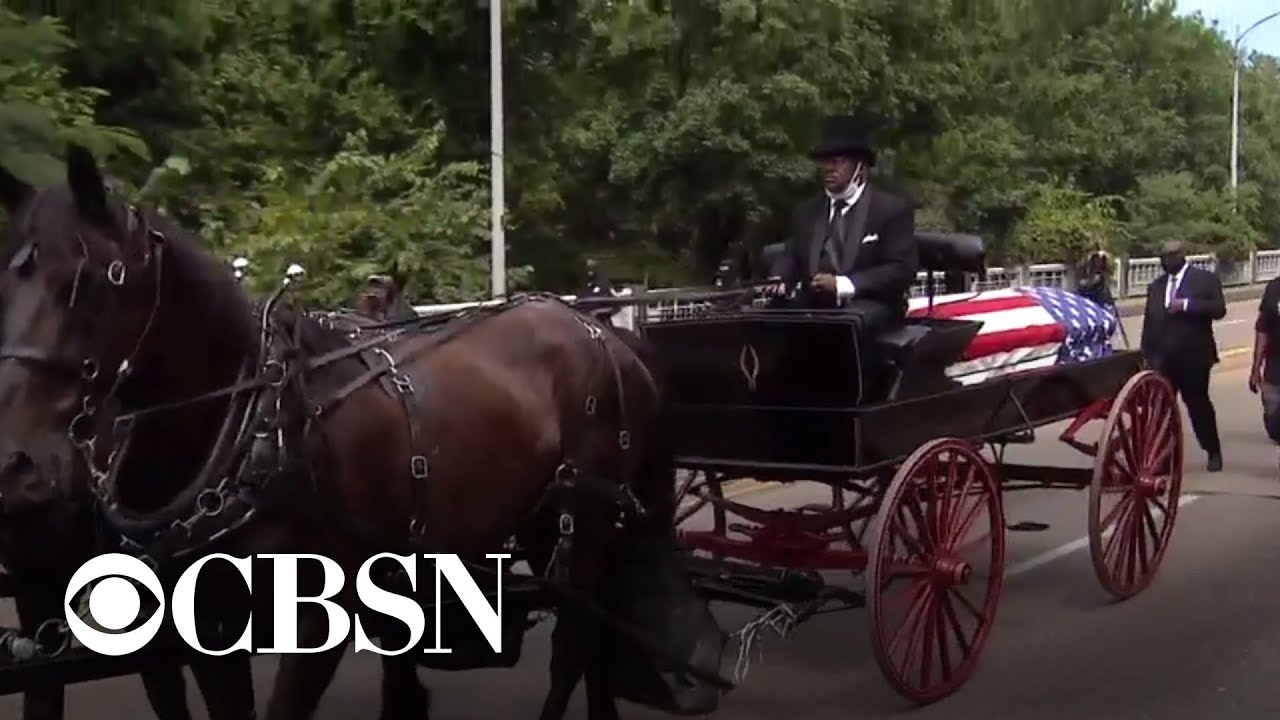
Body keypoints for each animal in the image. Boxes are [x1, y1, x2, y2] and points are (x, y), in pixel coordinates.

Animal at [0, 147, 721, 717]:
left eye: (91, 281)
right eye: (10, 281)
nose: (16, 464)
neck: (257, 429)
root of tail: (606, 333)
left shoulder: (314, 626)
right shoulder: (207, 629)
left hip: (588, 515)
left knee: (572, 648)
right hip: (549, 524)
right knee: (595, 639)